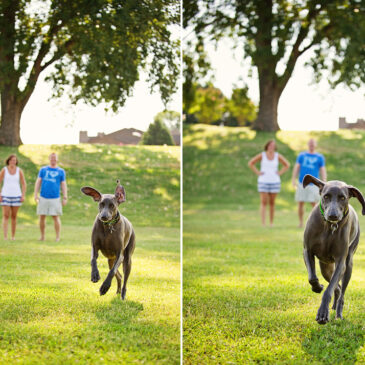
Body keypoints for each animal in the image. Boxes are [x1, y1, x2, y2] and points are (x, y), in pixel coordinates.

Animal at [302, 173, 364, 324]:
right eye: (326, 196)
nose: (333, 215)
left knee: (341, 291)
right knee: (338, 287)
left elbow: (329, 290)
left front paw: (322, 313)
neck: (329, 227)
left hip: (348, 264)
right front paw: (317, 287)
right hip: (325, 267)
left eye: (342, 197)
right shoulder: (307, 251)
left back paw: (338, 313)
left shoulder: (341, 262)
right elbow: (312, 277)